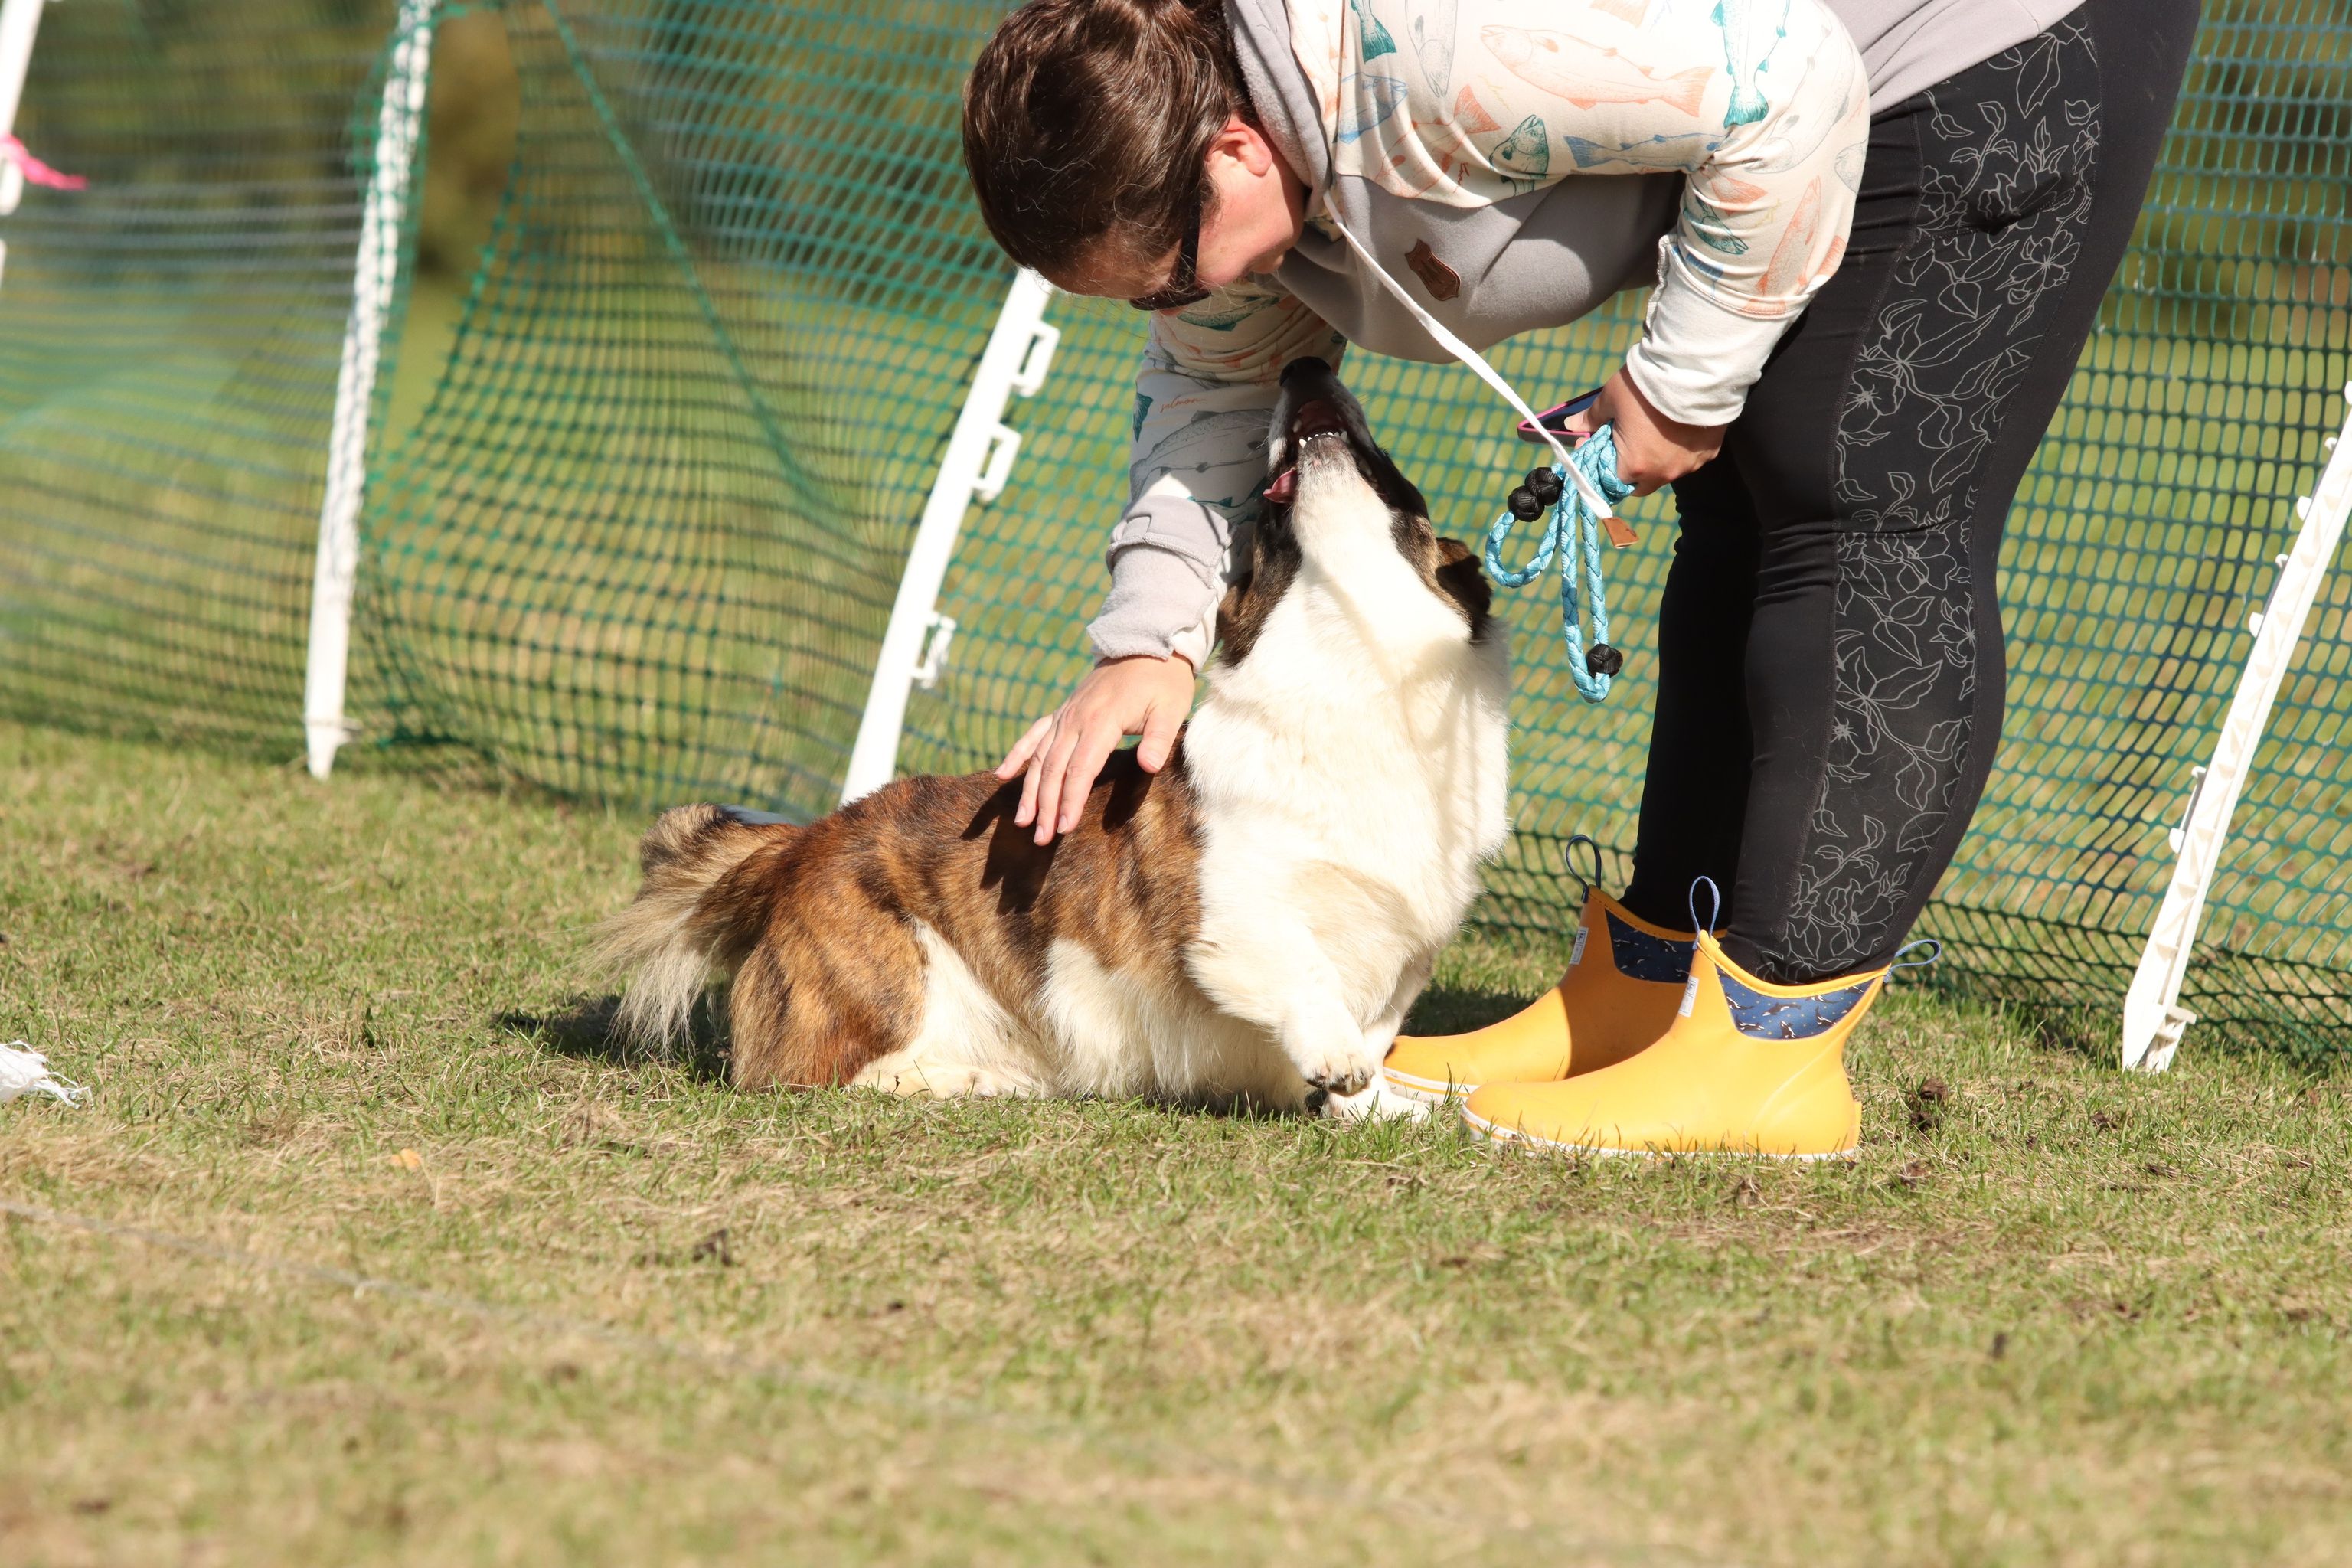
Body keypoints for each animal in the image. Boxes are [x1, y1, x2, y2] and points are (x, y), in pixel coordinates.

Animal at [598, 357, 1509, 1113]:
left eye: (1399, 481)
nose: (1308, 362)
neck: (1357, 658)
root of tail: (793, 847)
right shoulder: (1232, 907)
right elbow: (1306, 968)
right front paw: (1335, 1057)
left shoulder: (1407, 952)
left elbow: (1377, 1033)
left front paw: (1389, 1106)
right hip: (898, 971)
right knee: (808, 1071)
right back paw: (970, 1079)